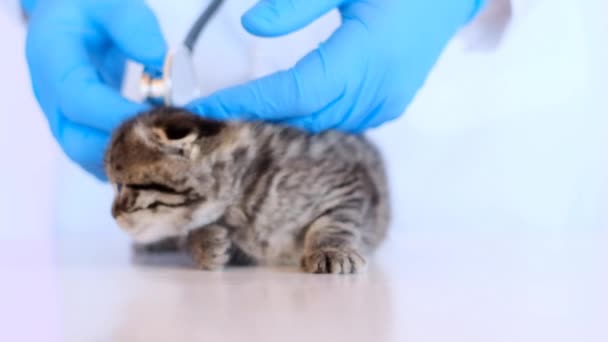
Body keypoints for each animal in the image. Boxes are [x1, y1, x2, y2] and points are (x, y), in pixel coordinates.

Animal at [104, 107, 390, 276]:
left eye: (123, 186)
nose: (113, 214)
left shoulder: (345, 183)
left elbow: (336, 221)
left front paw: (330, 250)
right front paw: (204, 243)